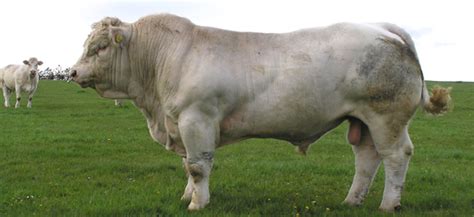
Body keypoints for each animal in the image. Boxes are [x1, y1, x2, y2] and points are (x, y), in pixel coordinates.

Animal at [70, 14, 452, 212]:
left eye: (99, 47)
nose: (72, 72)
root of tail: (383, 28)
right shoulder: (180, 124)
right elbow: (187, 166)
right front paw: (187, 196)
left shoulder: (197, 120)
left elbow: (197, 166)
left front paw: (198, 203)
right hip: (362, 120)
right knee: (367, 158)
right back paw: (352, 201)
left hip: (386, 117)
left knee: (396, 156)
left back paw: (389, 204)